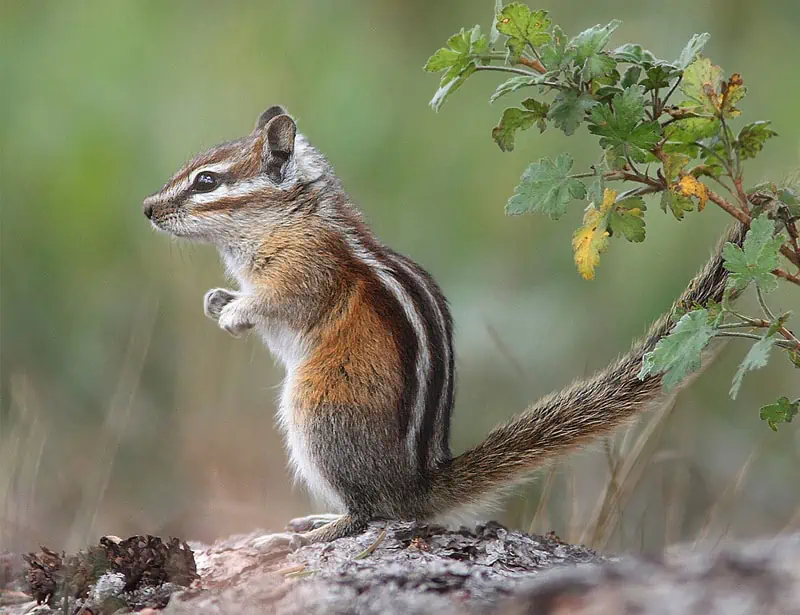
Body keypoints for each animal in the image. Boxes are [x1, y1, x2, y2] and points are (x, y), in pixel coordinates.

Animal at [143, 105, 746, 550]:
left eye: (207, 181)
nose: (147, 208)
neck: (291, 217)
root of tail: (417, 486)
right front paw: (216, 300)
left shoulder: (306, 270)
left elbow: (281, 301)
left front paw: (232, 312)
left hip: (317, 410)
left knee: (369, 513)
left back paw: (316, 532)